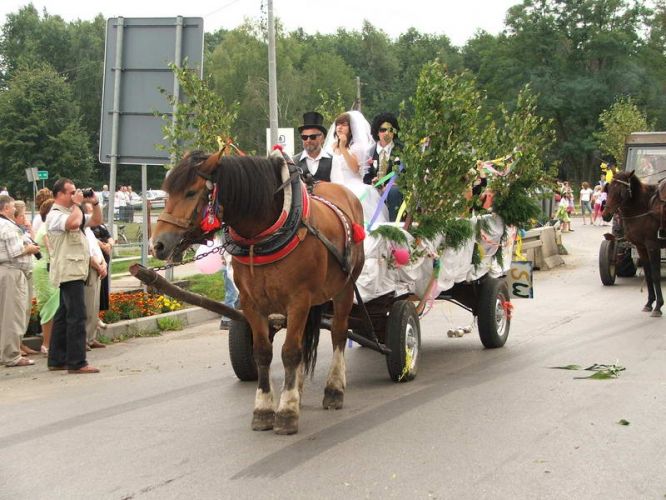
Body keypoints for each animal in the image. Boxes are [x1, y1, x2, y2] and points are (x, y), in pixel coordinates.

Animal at [152, 152, 364, 434]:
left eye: (190, 192)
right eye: (167, 192)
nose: (157, 244)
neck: (261, 238)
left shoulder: (299, 300)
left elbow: (290, 352)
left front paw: (286, 411)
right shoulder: (251, 303)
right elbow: (263, 351)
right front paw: (264, 408)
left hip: (345, 289)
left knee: (339, 333)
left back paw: (333, 389)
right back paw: (297, 388)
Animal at [600, 170, 664, 314]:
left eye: (621, 191)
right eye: (608, 188)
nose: (605, 214)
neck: (645, 208)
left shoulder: (653, 246)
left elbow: (655, 274)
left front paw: (658, 306)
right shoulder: (641, 247)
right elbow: (648, 274)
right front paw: (649, 303)